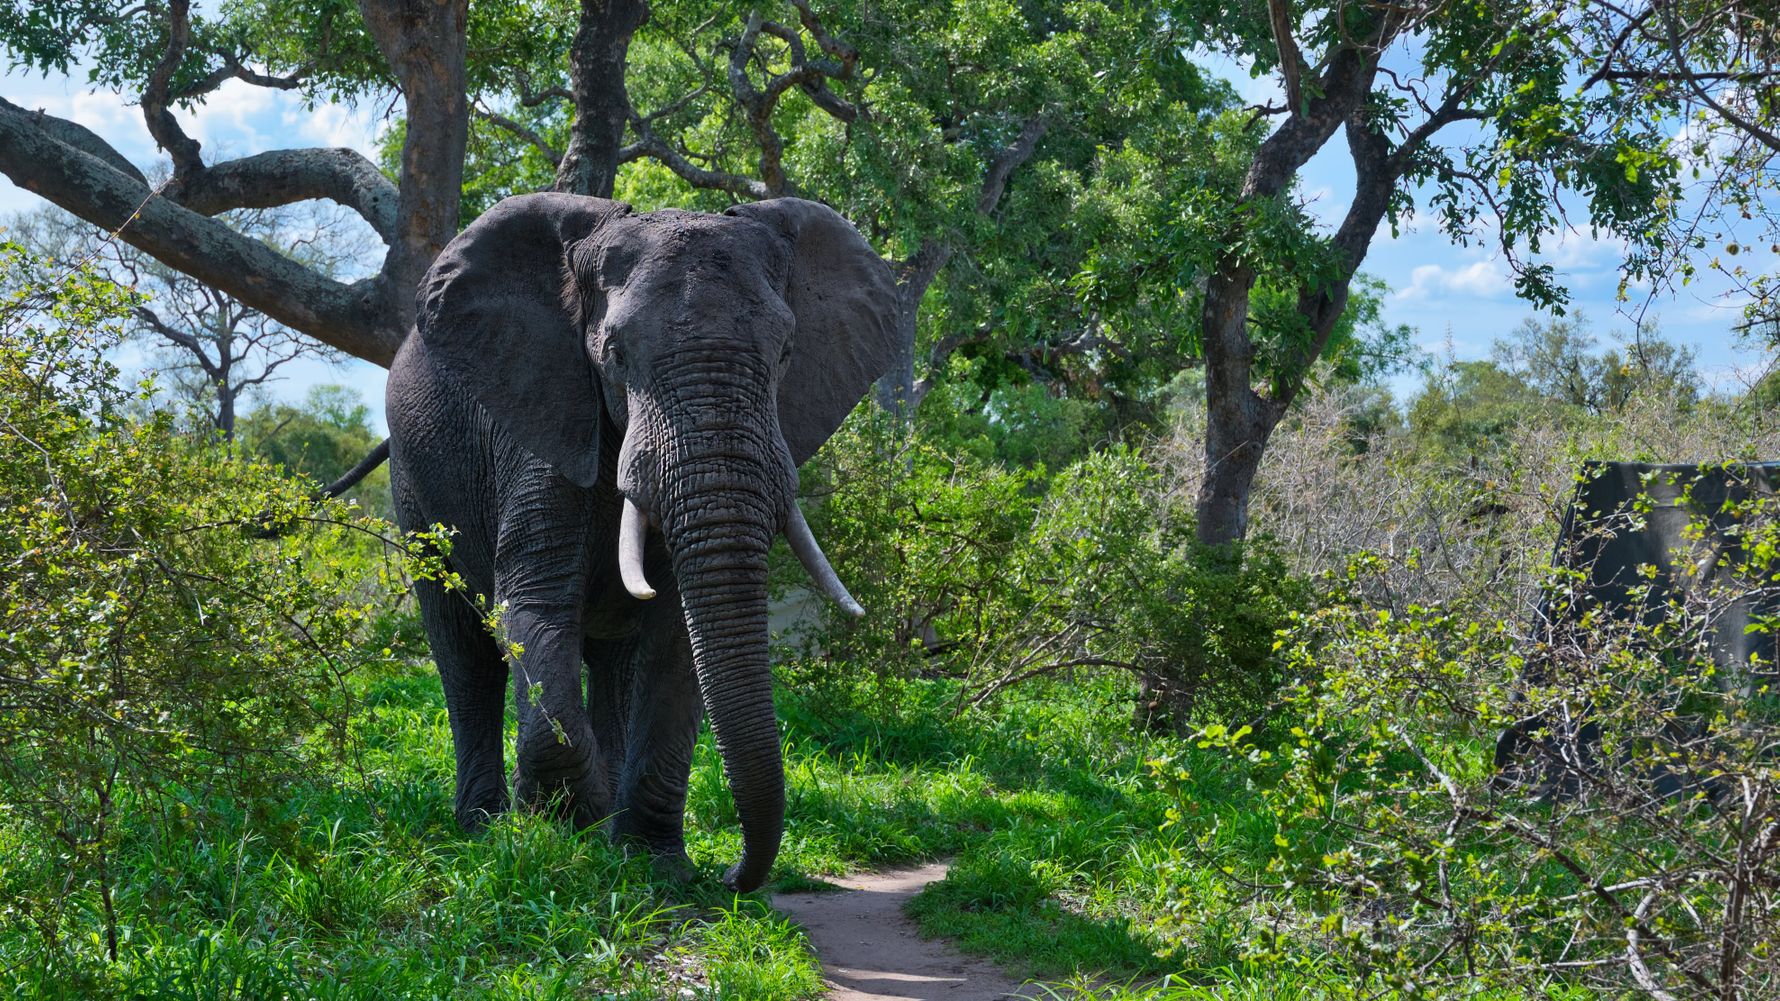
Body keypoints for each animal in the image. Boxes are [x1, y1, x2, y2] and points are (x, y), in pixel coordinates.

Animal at [383, 192, 898, 891]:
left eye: (788, 351)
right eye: (615, 354)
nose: (732, 876)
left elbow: (676, 639)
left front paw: (653, 864)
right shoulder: (542, 418)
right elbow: (536, 607)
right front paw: (571, 826)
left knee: (615, 666)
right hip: (415, 487)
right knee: (465, 653)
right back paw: (486, 827)